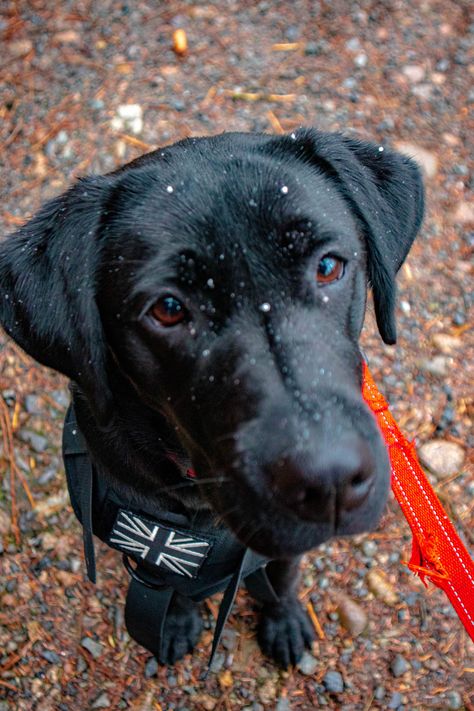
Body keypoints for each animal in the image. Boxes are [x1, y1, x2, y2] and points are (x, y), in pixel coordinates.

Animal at [0, 129, 422, 668]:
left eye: (328, 267)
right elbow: (171, 581)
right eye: (168, 308)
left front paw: (284, 619)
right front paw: (179, 621)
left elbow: (283, 571)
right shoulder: (151, 540)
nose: (332, 482)